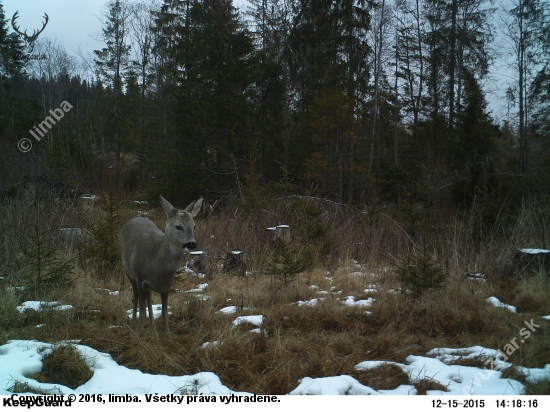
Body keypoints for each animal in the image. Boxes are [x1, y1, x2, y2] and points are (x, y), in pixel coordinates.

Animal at [118, 196, 203, 338]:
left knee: (149, 298)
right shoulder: (140, 278)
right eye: (178, 226)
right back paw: (134, 327)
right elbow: (142, 308)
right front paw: (140, 334)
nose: (192, 243)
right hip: (128, 272)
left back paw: (153, 330)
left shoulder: (166, 285)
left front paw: (167, 335)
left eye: (194, 226)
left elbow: (164, 311)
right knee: (135, 297)